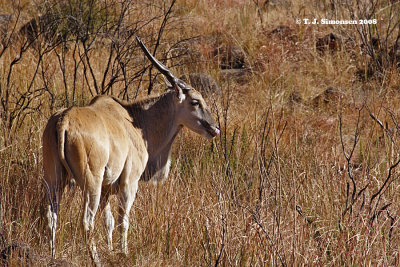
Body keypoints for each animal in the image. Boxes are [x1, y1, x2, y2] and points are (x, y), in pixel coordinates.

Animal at [42, 36, 220, 264]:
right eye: (195, 102)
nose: (215, 128)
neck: (136, 120)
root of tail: (64, 119)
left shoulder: (107, 189)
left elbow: (108, 221)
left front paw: (111, 250)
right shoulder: (129, 183)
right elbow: (122, 221)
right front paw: (122, 252)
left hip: (54, 180)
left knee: (51, 216)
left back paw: (53, 256)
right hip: (91, 183)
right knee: (86, 221)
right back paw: (95, 260)